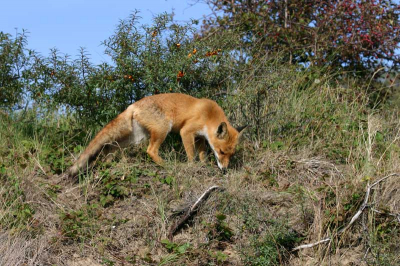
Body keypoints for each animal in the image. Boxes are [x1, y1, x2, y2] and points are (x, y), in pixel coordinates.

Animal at [67, 93, 245, 177]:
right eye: (222, 152)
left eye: (231, 154)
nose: (225, 170)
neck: (209, 115)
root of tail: (133, 105)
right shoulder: (186, 131)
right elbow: (191, 153)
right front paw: (192, 165)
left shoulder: (201, 137)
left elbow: (202, 154)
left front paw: (204, 165)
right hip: (162, 129)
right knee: (151, 150)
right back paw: (166, 165)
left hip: (134, 138)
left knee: (110, 147)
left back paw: (108, 163)